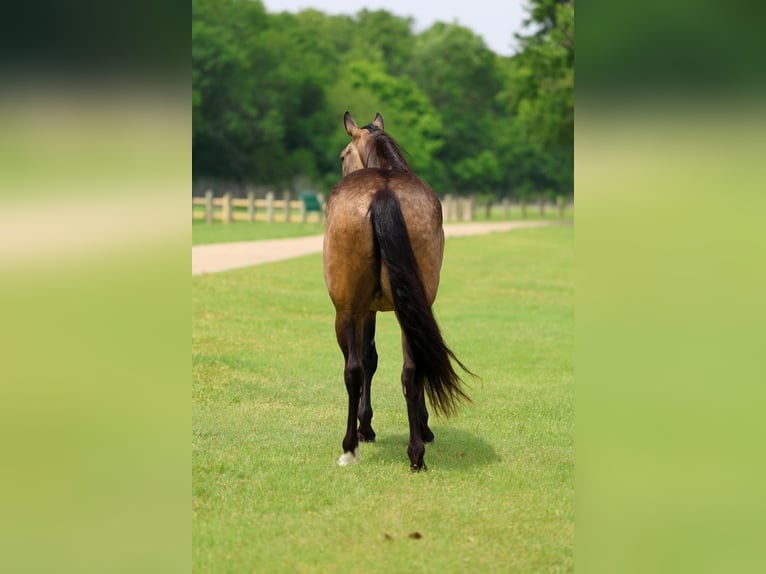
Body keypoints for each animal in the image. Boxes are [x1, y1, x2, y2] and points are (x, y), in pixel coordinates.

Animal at [323, 111, 473, 471]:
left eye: (342, 156)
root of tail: (383, 193)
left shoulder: (365, 310)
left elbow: (368, 360)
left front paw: (365, 428)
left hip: (345, 311)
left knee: (353, 370)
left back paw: (349, 447)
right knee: (412, 370)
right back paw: (416, 452)